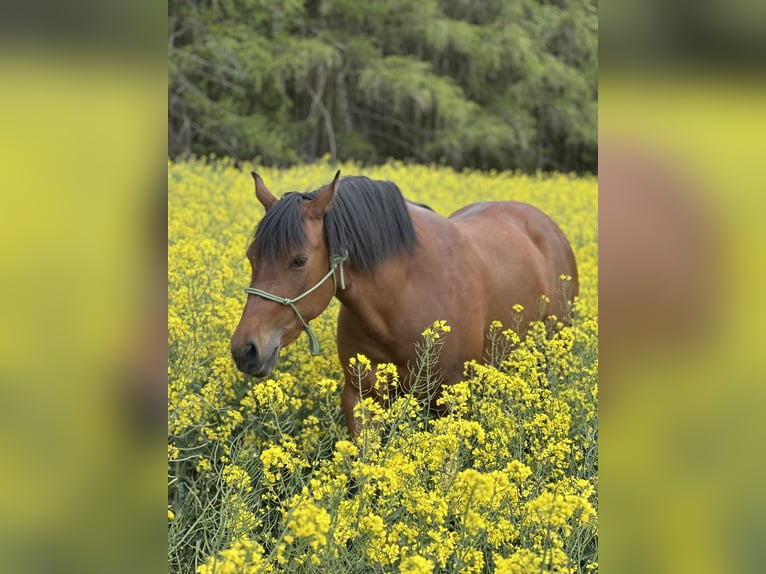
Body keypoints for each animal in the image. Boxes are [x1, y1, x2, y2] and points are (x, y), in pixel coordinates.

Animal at [231, 171, 578, 437]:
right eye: (251, 257)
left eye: (299, 260)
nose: (245, 350)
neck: (400, 298)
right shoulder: (361, 396)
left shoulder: (453, 401)